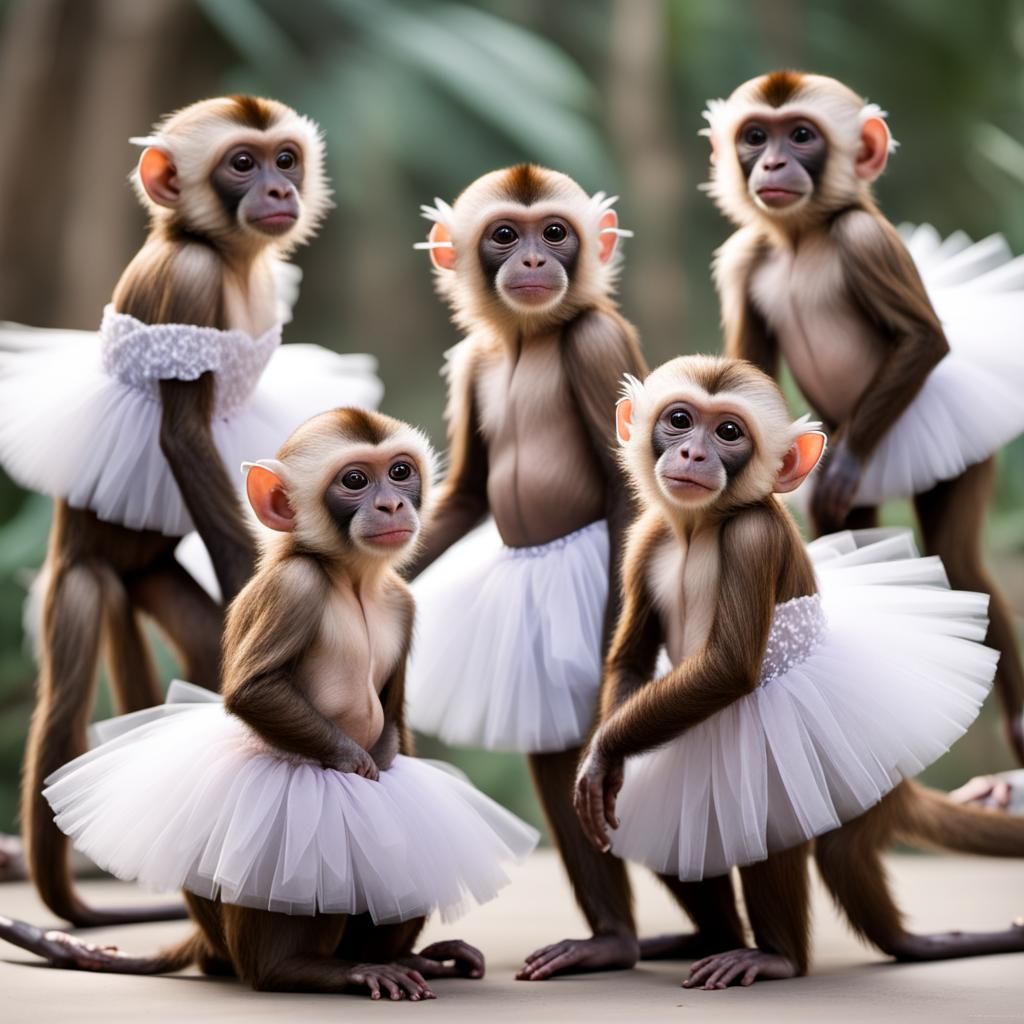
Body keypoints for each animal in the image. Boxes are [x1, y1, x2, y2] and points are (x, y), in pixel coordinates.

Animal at [0, 95, 381, 925]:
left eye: (284, 159)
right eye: (243, 163)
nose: (278, 190)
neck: (223, 252)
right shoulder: (189, 281)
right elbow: (181, 434)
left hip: (152, 579)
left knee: (204, 651)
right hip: (80, 579)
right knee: (64, 710)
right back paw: (76, 903)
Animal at [0, 407, 538, 999]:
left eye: (400, 472)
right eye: (355, 480)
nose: (392, 505)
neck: (351, 580)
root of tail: (210, 945)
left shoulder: (402, 602)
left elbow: (392, 722)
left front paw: (381, 763)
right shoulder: (293, 587)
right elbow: (253, 692)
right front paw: (357, 766)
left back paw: (407, 957)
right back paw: (301, 968)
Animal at [575, 354, 1024, 989]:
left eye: (728, 432)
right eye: (680, 420)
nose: (692, 455)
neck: (698, 530)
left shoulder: (754, 537)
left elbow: (728, 670)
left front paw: (602, 754)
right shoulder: (645, 539)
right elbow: (632, 661)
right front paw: (604, 766)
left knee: (773, 807)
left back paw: (778, 956)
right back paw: (710, 935)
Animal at [701, 71, 1024, 764]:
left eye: (801, 135)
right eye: (754, 136)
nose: (772, 163)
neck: (801, 240)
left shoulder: (863, 239)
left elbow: (925, 341)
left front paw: (844, 466)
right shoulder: (745, 258)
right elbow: (747, 372)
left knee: (961, 561)